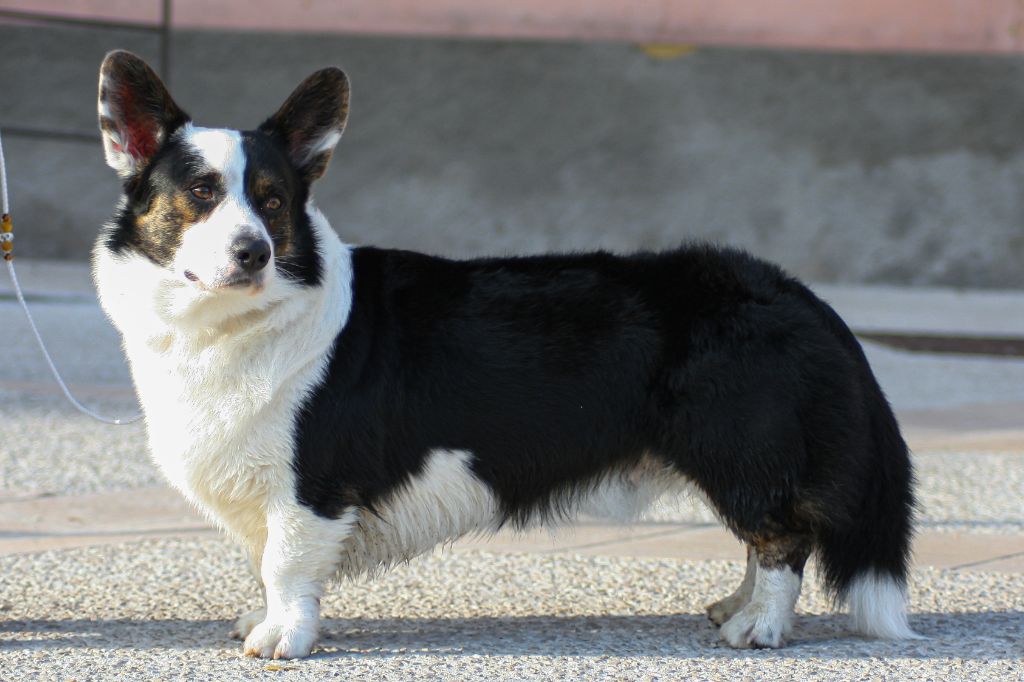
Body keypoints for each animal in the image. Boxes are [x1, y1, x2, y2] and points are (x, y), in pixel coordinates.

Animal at [90, 50, 921, 655]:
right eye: (200, 191)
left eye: (271, 200)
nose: (253, 253)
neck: (227, 323)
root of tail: (792, 291)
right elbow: (267, 564)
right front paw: (260, 620)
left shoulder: (311, 486)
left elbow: (285, 564)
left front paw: (281, 640)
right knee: (762, 542)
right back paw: (732, 607)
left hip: (736, 449)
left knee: (782, 538)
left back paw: (758, 627)